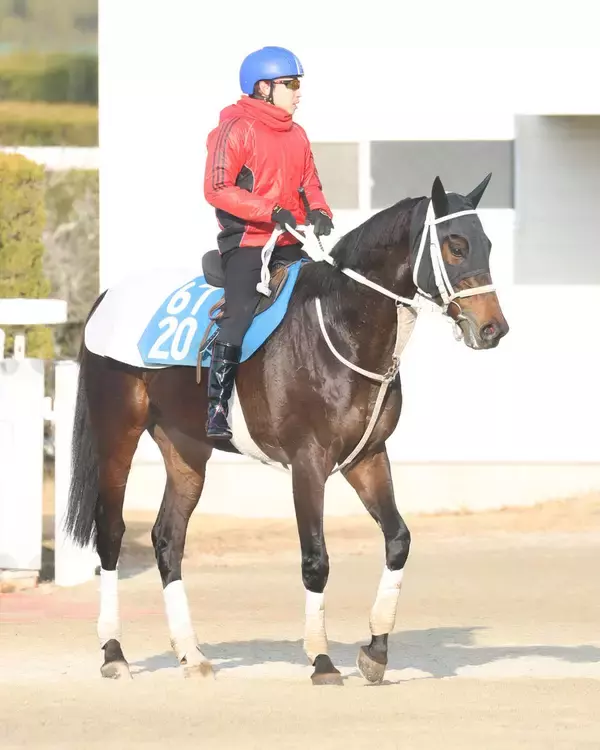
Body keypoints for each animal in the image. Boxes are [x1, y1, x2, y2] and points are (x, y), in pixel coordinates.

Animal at [64, 173, 509, 685]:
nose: (494, 328)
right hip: (117, 435)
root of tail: (107, 297)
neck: (338, 327)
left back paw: (191, 654)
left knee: (167, 539)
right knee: (111, 532)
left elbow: (398, 540)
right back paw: (114, 653)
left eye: (487, 244)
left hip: (186, 448)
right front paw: (321, 660)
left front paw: (375, 651)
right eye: (456, 246)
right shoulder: (308, 463)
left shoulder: (368, 457)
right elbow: (315, 560)